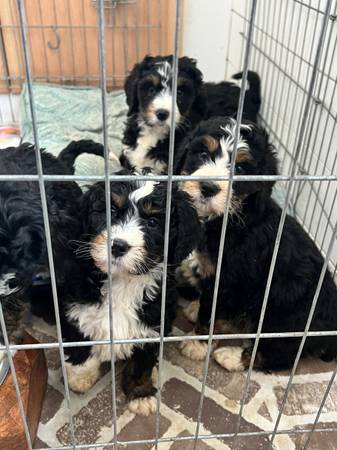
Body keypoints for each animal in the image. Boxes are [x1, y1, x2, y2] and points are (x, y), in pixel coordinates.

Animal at [60, 176, 200, 414]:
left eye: (152, 222)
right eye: (111, 211)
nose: (118, 246)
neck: (123, 281)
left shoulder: (152, 324)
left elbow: (141, 364)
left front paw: (140, 394)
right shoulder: (75, 307)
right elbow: (80, 344)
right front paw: (81, 376)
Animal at [176, 117, 337, 372]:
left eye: (240, 170)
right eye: (202, 154)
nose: (208, 187)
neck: (231, 219)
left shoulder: (227, 280)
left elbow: (209, 311)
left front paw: (198, 344)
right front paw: (196, 310)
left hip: (286, 317)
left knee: (277, 353)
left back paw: (232, 356)